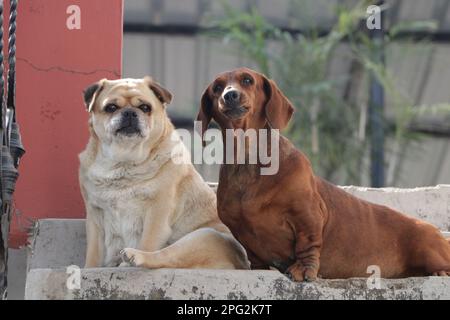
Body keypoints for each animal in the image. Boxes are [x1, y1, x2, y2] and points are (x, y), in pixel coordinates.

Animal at [80, 77, 250, 270]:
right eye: (111, 107)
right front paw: (88, 269)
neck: (124, 162)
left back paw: (135, 257)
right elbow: (93, 255)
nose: (130, 113)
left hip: (202, 237)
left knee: (164, 256)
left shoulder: (157, 214)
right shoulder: (95, 219)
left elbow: (148, 241)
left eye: (145, 107)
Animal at [197, 67, 450, 280]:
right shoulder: (243, 234)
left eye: (247, 80)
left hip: (427, 247)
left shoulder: (308, 215)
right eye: (216, 87)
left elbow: (307, 245)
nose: (229, 95)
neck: (247, 161)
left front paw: (304, 269)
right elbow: (255, 257)